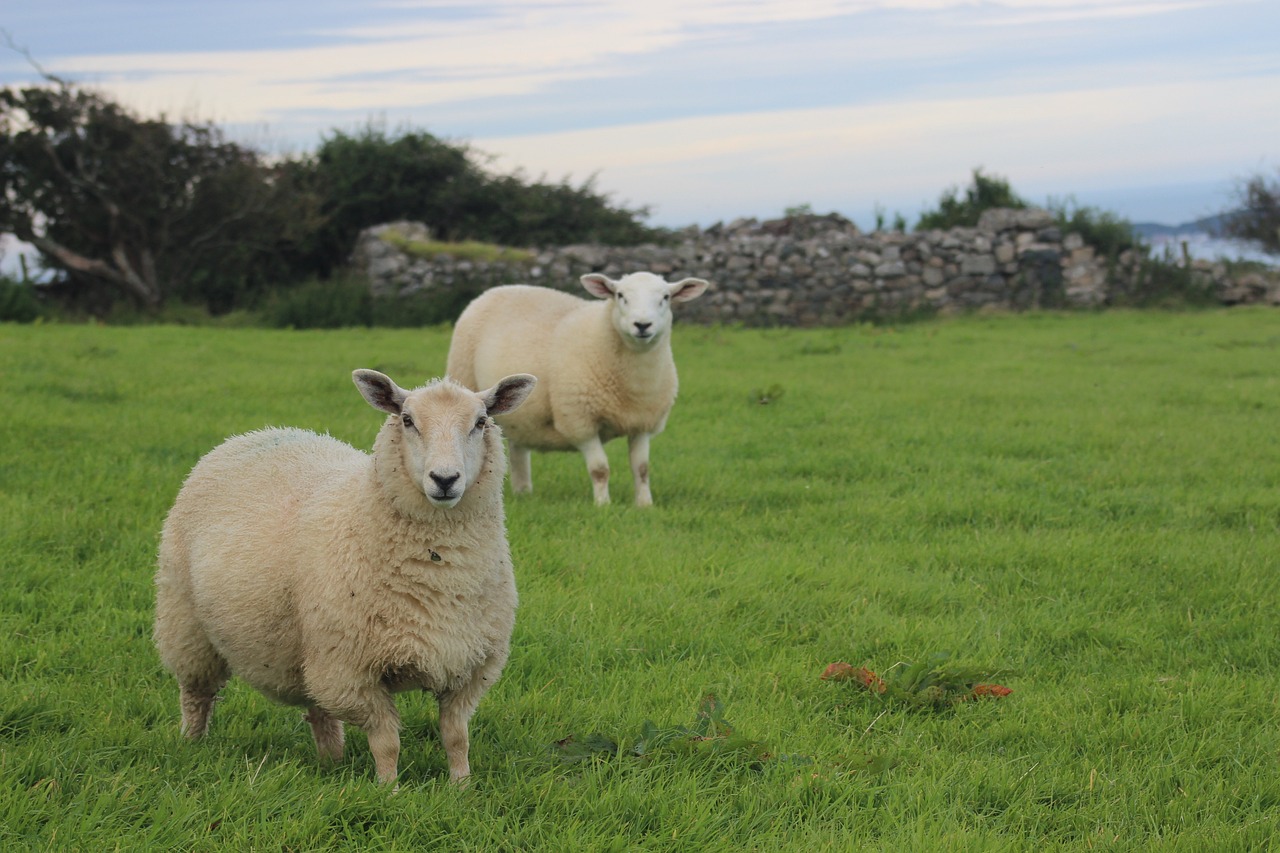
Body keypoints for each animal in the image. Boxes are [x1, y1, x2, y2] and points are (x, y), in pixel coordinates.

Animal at [153, 368, 535, 778]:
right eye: (407, 420)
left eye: (480, 422)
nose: (445, 479)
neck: (439, 571)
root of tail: (254, 434)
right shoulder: (353, 671)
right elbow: (387, 744)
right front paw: (388, 788)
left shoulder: (469, 667)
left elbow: (456, 738)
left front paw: (461, 786)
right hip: (187, 623)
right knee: (196, 694)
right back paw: (192, 744)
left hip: (309, 648)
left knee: (318, 707)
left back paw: (331, 760)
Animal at [445, 268, 711, 502]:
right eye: (620, 295)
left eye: (666, 297)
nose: (642, 325)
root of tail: (498, 288)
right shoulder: (580, 419)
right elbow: (600, 469)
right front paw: (603, 504)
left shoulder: (642, 423)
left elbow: (642, 468)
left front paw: (645, 504)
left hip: (520, 415)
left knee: (518, 449)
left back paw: (524, 493)